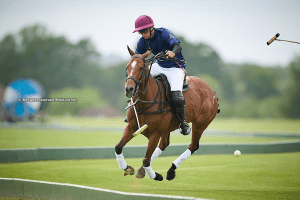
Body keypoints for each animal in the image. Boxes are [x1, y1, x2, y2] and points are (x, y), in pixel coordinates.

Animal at [114, 47, 218, 181]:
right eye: (127, 67)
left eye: (141, 68)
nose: (129, 89)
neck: (144, 103)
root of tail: (212, 91)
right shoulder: (132, 127)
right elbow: (118, 147)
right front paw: (128, 169)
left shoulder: (155, 132)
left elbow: (146, 159)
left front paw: (156, 176)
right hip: (167, 128)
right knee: (164, 144)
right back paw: (142, 171)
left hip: (200, 123)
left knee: (193, 146)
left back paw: (171, 171)